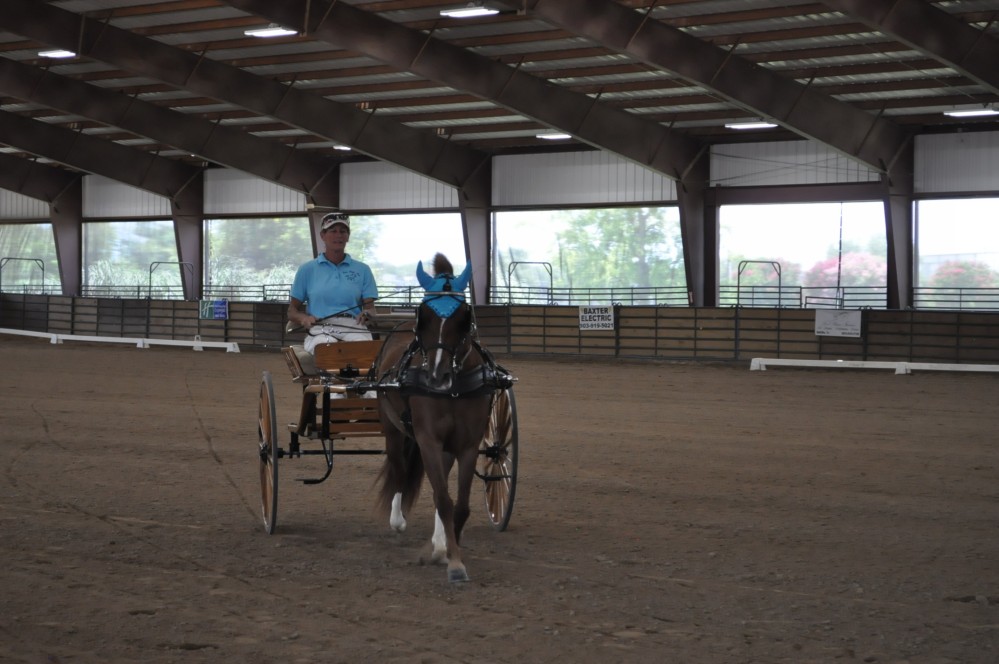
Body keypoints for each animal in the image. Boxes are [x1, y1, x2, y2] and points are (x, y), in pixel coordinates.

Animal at [374, 253, 498, 580]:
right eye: (425, 315)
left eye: (463, 316)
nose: (437, 375)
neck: (451, 391)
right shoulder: (428, 439)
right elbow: (443, 499)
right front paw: (453, 563)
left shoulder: (467, 444)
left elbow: (459, 505)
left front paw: (445, 550)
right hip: (393, 429)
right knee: (399, 468)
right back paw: (397, 520)